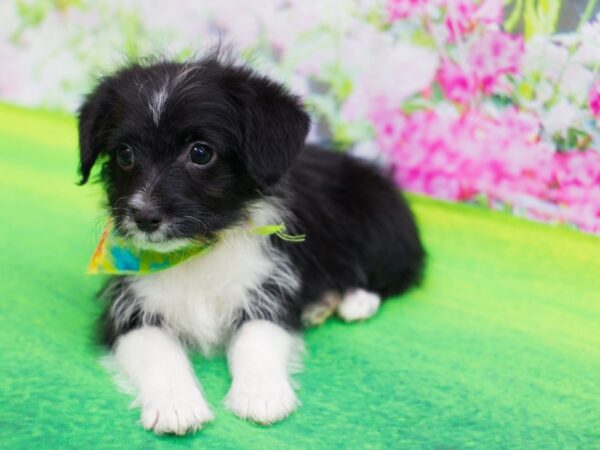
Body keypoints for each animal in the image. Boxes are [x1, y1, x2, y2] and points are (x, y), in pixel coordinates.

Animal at [77, 54, 424, 434]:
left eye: (201, 153)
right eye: (124, 154)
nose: (144, 217)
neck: (198, 251)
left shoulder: (270, 289)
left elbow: (257, 338)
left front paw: (261, 394)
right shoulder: (128, 310)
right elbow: (158, 351)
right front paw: (176, 403)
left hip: (381, 231)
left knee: (395, 276)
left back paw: (353, 301)